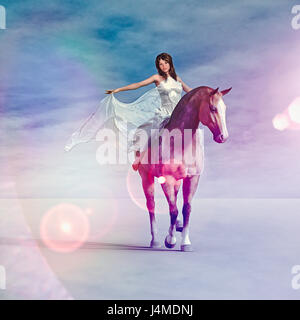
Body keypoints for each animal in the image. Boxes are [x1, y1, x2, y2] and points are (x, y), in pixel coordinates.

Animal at [136, 86, 232, 251]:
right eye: (213, 108)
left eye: (224, 109)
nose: (223, 137)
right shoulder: (167, 179)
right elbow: (173, 210)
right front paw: (170, 240)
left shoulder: (192, 178)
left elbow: (186, 209)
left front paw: (185, 242)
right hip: (146, 177)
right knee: (151, 206)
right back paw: (155, 241)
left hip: (177, 182)